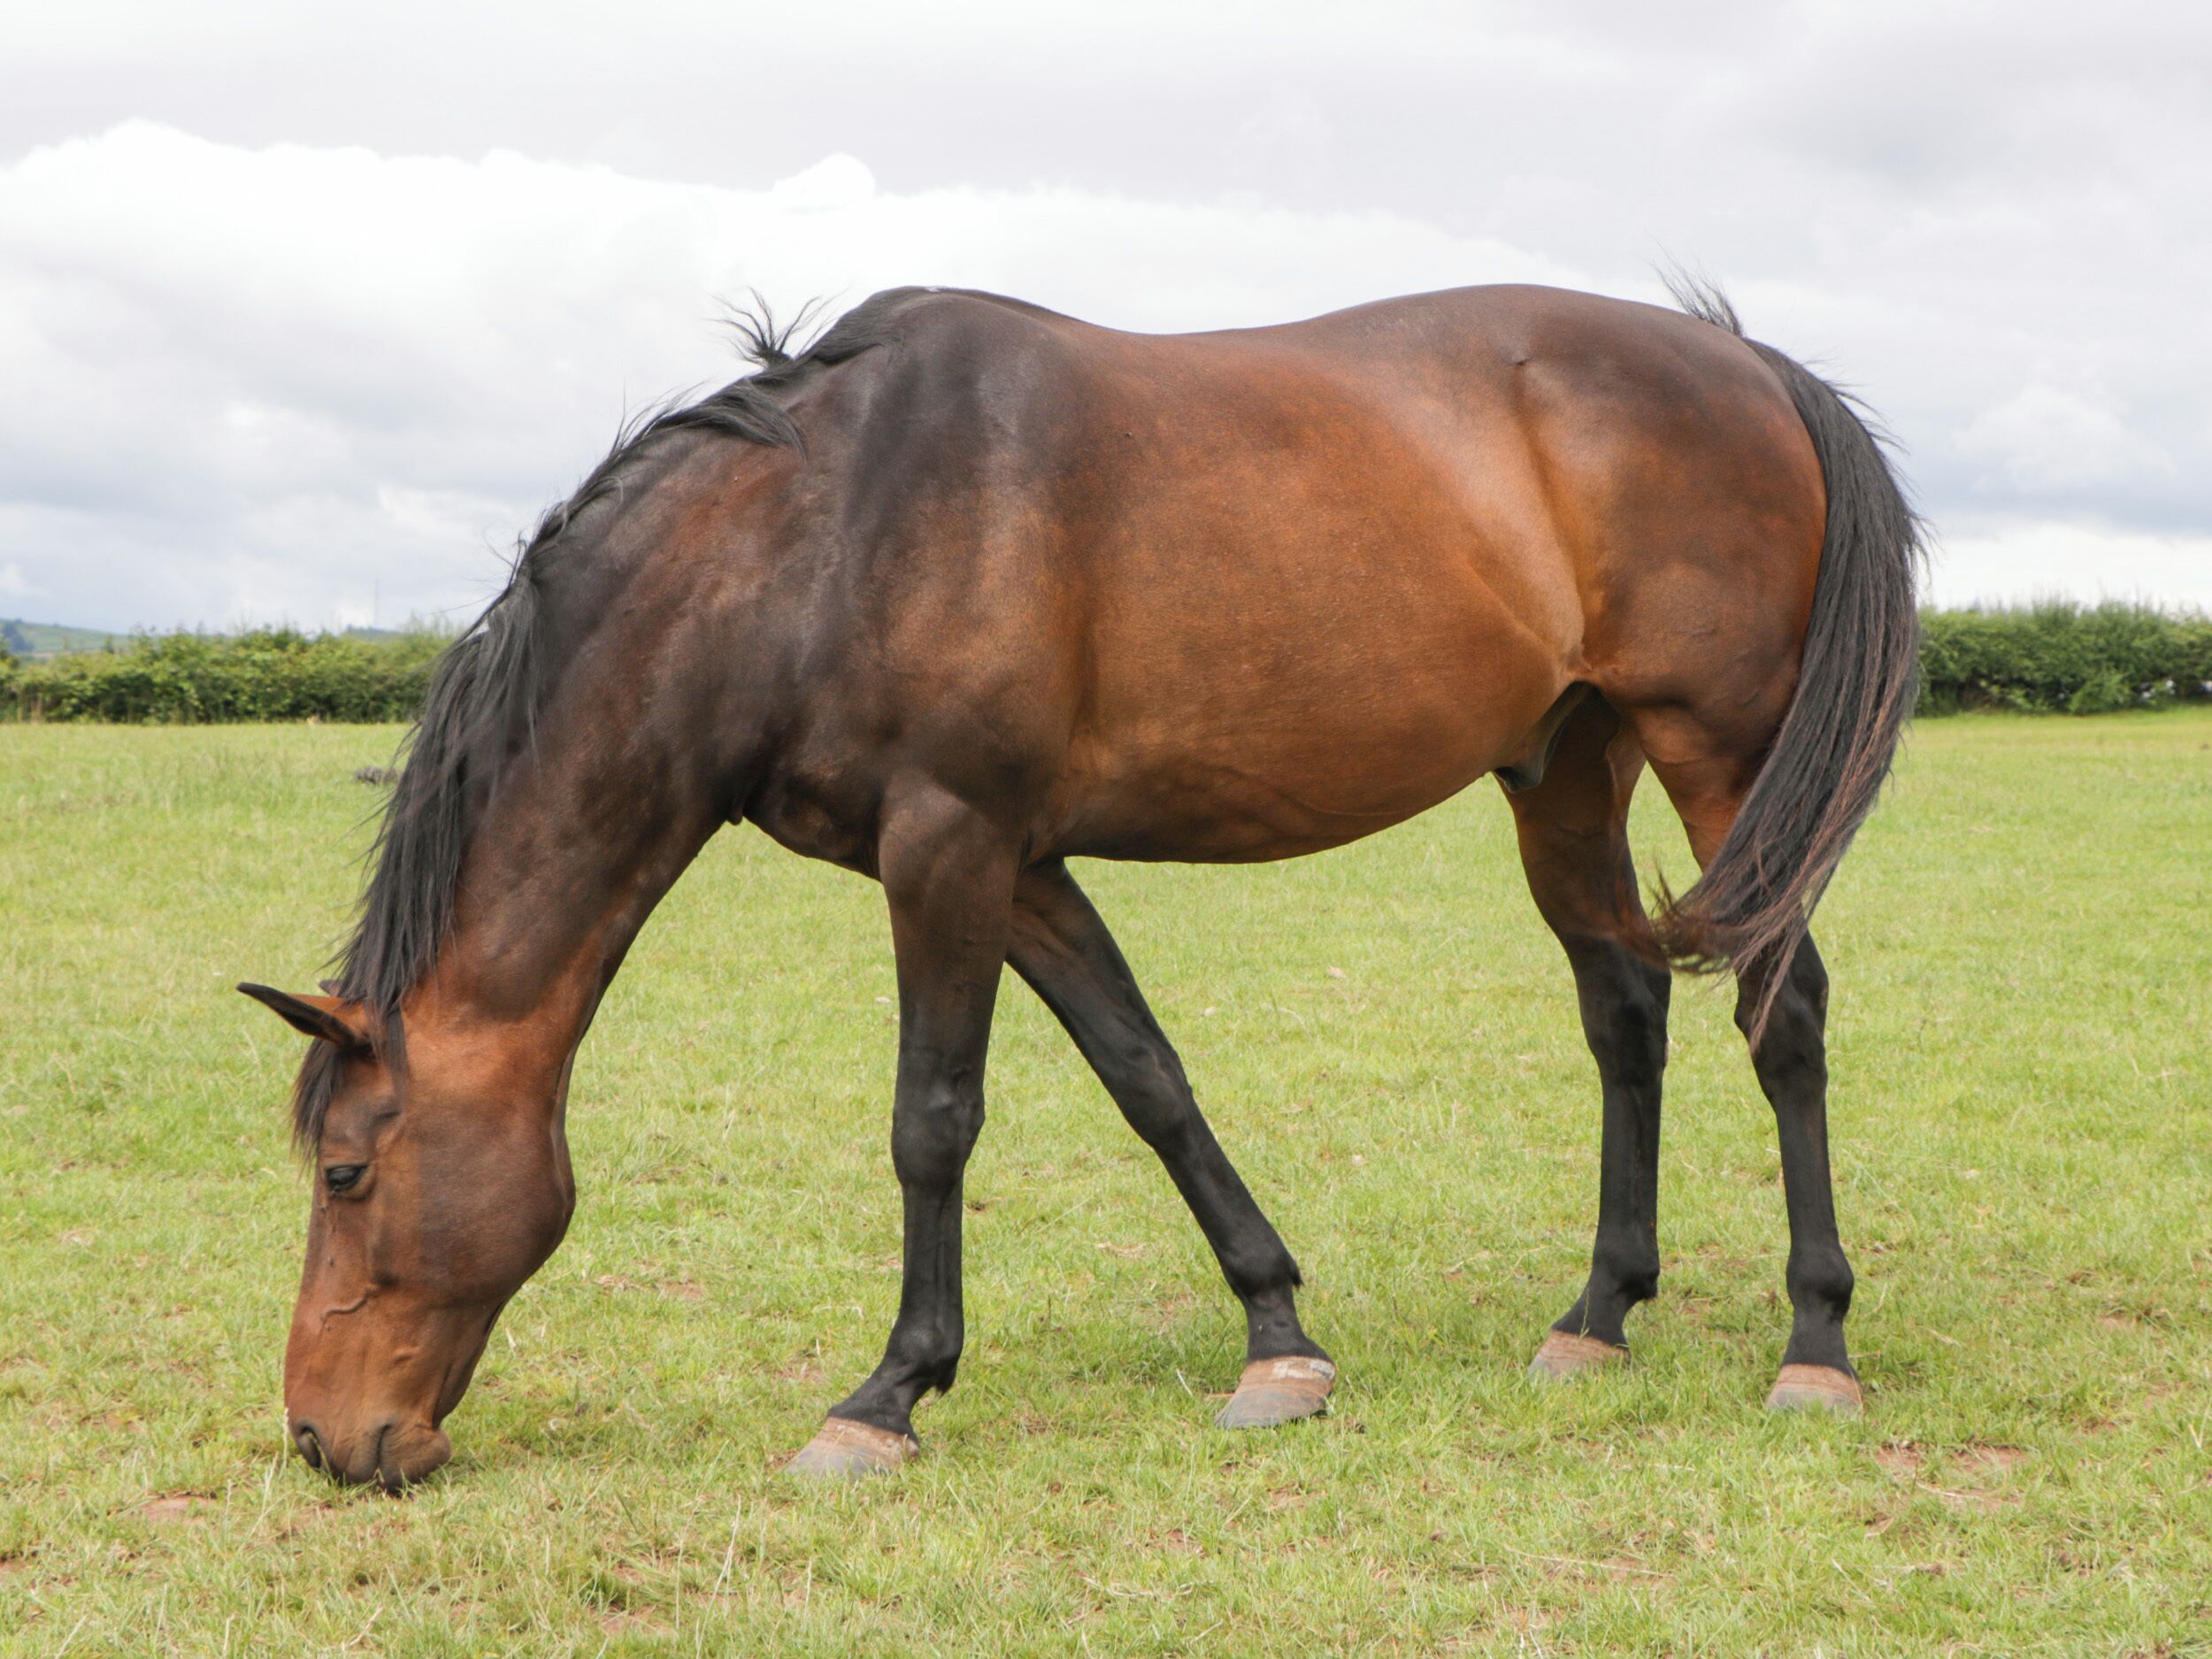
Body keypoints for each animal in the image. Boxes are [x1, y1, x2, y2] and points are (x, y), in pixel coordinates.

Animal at [239, 277, 1918, 1488]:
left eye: (349, 1174)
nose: (327, 1440)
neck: (817, 535)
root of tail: (1750, 365)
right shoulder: (1023, 864)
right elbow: (1149, 1079)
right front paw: (1277, 1340)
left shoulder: (947, 846)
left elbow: (932, 1120)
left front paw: (889, 1394)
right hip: (1566, 766)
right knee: (1625, 1006)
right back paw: (1597, 1316)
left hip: (1720, 751)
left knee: (1785, 1013)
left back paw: (1815, 1345)